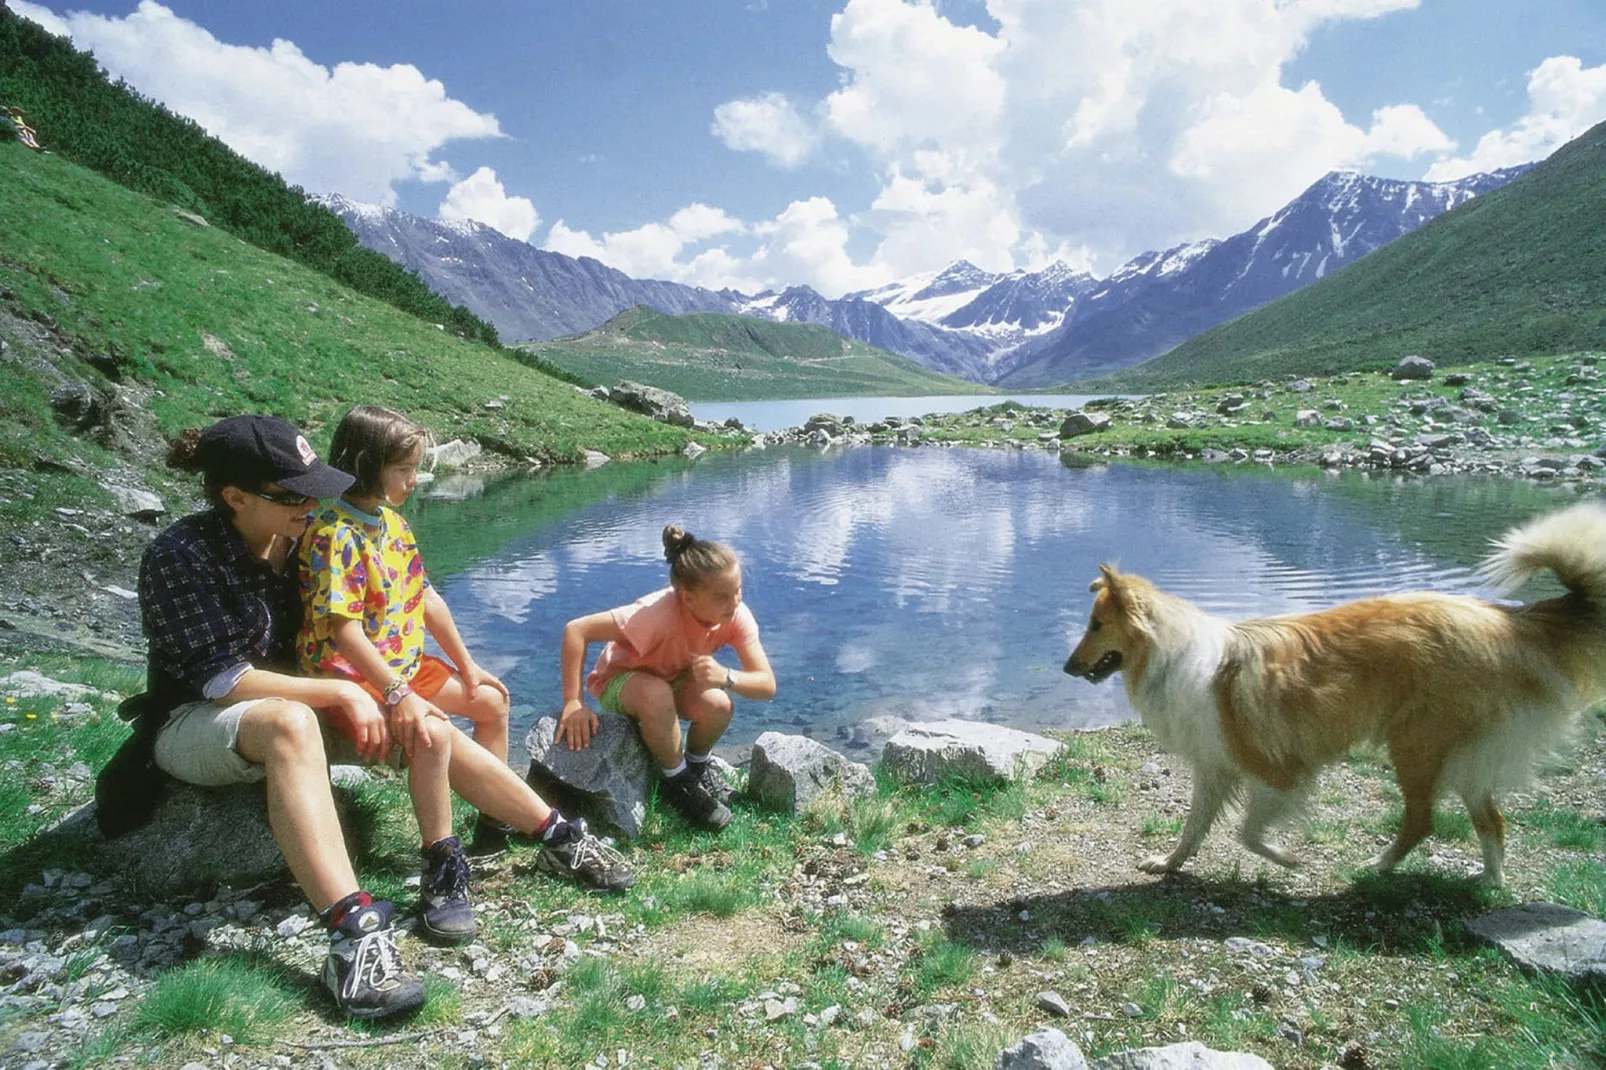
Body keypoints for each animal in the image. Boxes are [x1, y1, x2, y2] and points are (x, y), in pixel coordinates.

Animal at [1066, 501, 1606, 880]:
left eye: (1096, 625)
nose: (1068, 667)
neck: (1168, 653)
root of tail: (1507, 621)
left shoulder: (1278, 771)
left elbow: (1248, 832)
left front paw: (1286, 858)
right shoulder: (1215, 767)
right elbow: (1195, 826)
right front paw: (1169, 863)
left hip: (1415, 745)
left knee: (1423, 820)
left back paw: (1378, 868)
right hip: (1459, 756)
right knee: (1492, 820)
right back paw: (1488, 882)